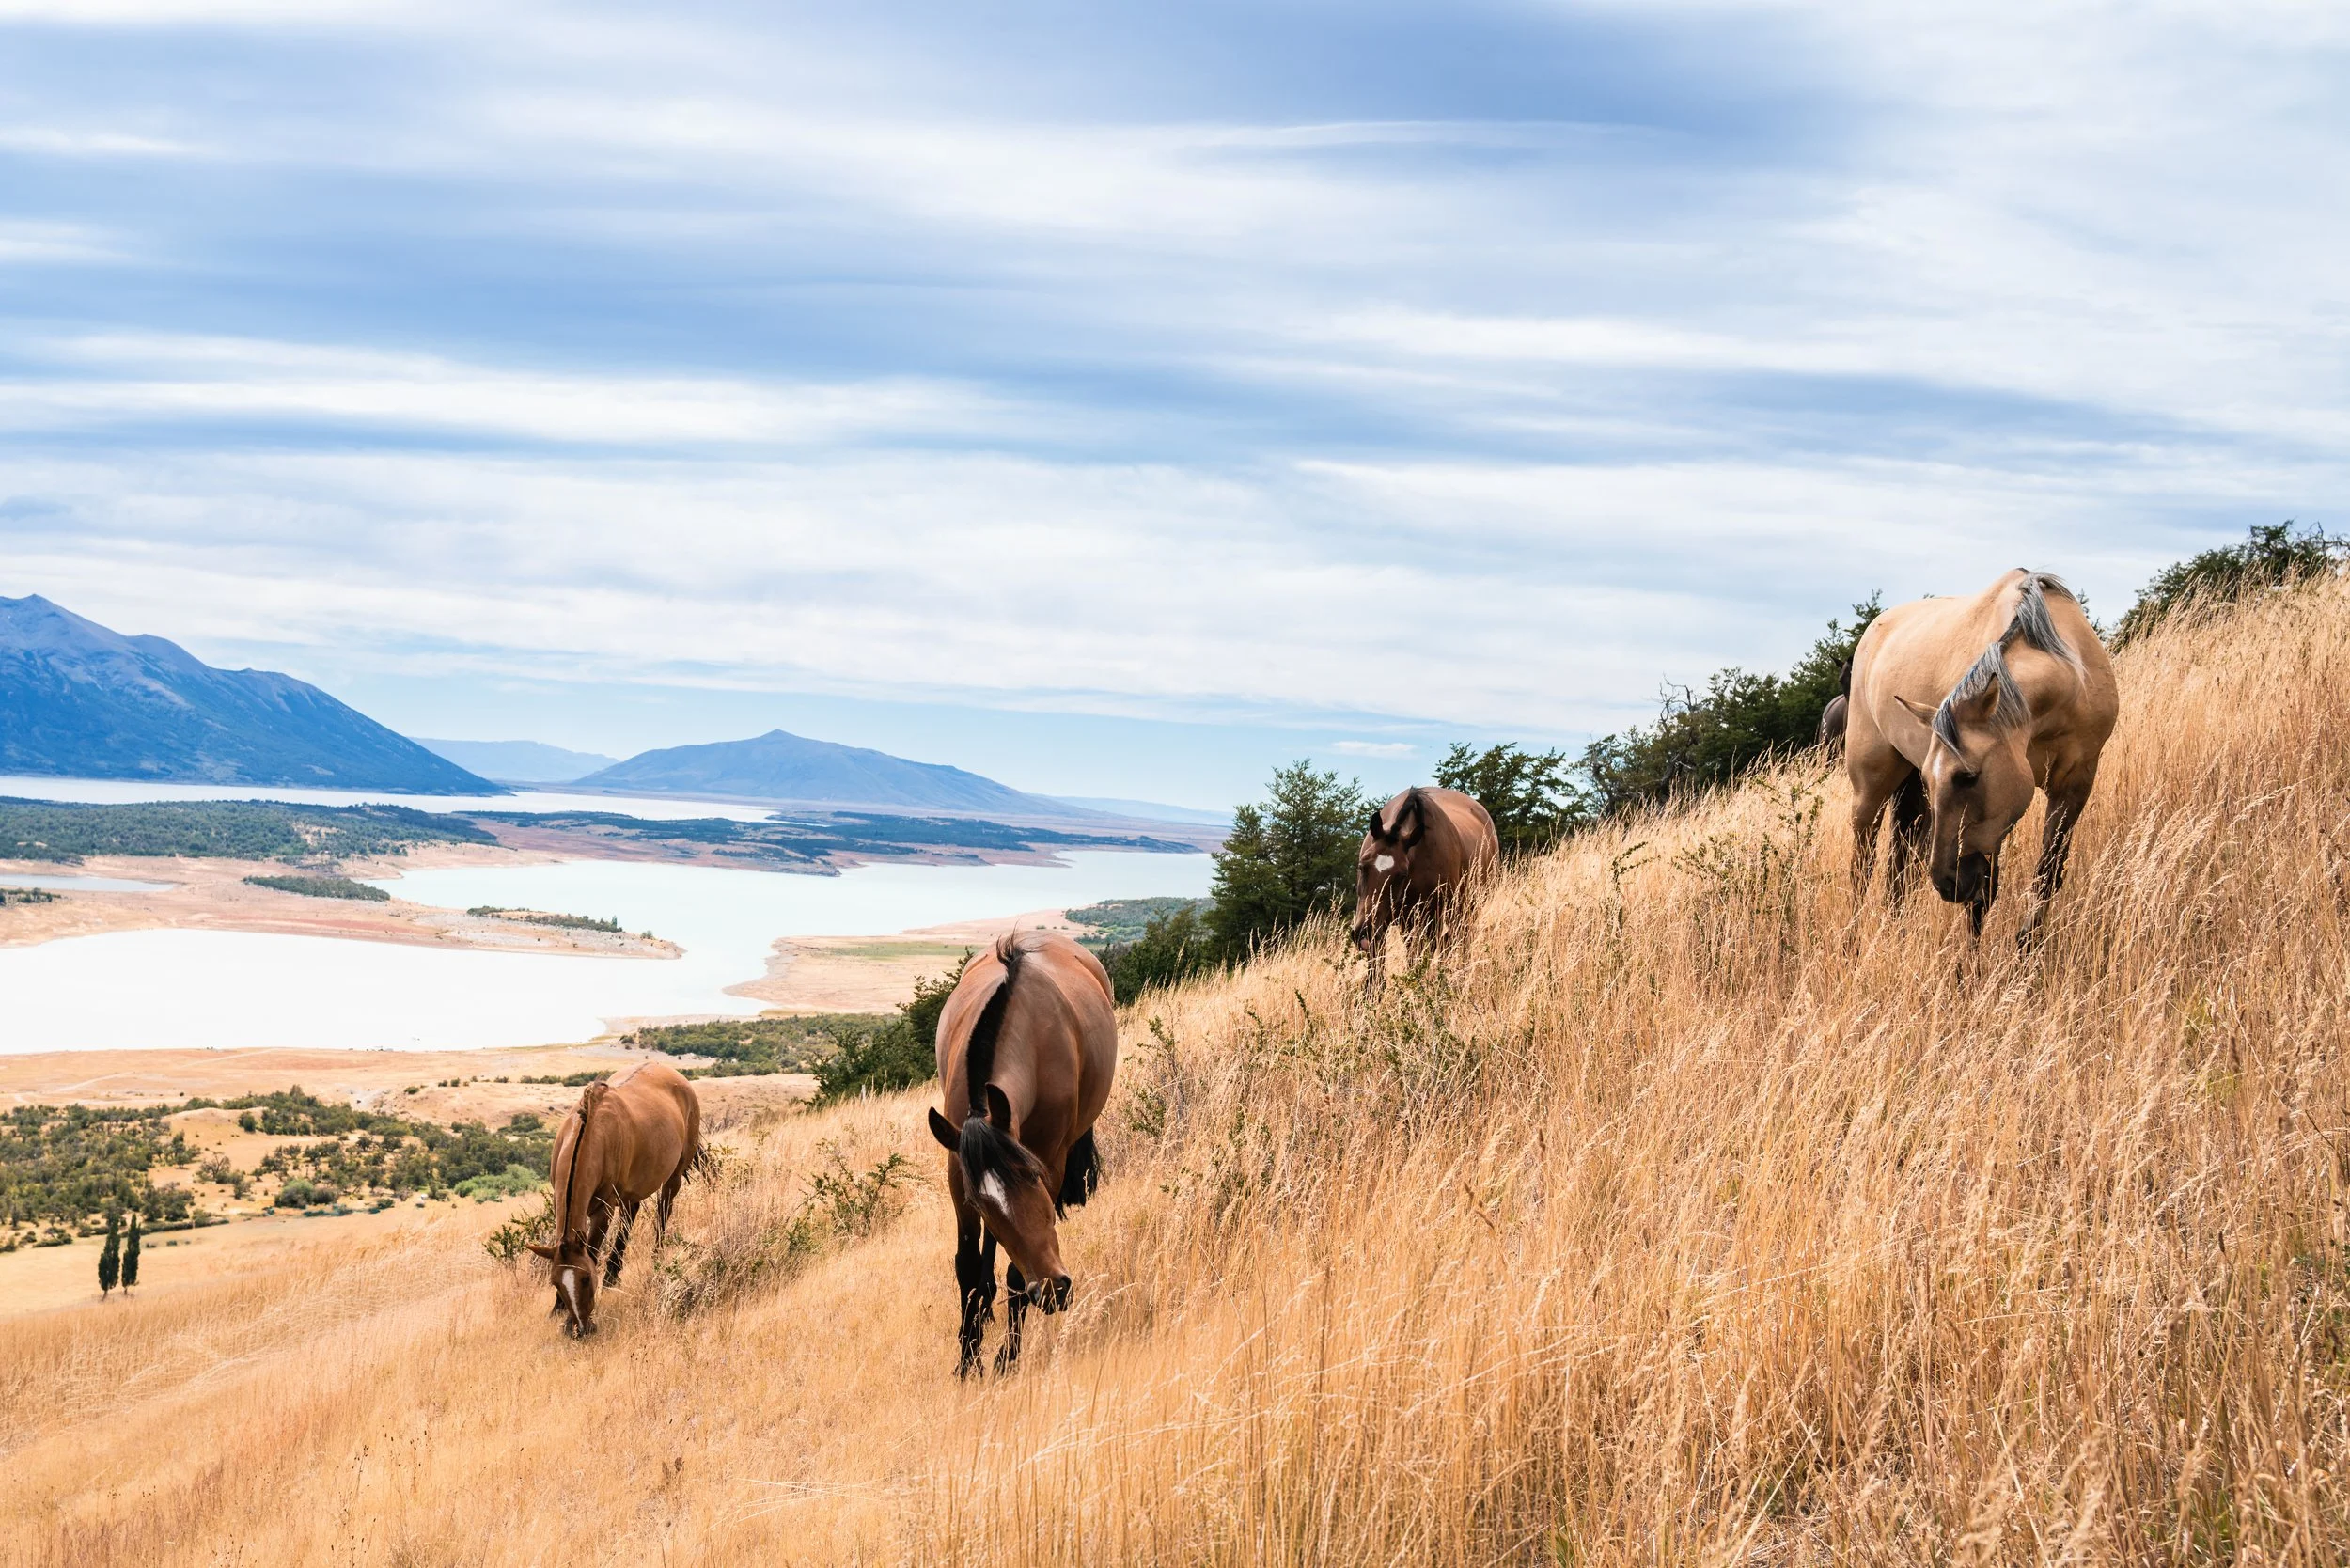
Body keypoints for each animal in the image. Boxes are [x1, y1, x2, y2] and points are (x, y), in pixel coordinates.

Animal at [528, 1059, 703, 1337]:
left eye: (586, 1279)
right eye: (555, 1283)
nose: (581, 1328)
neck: (591, 1134)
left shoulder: (603, 1210)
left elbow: (592, 1251)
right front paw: (557, 1309)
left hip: (673, 1177)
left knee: (663, 1213)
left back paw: (654, 1258)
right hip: (631, 1191)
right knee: (630, 1216)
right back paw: (613, 1275)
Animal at [925, 931, 1114, 1378]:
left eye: (1034, 1177)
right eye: (978, 1201)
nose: (1053, 1291)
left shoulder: (1052, 1159)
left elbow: (1014, 1273)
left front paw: (1005, 1358)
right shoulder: (958, 1172)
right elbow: (967, 1264)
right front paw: (967, 1357)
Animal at [1351, 786, 1500, 990]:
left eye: (1401, 875)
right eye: (1362, 866)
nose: (1363, 931)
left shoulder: (1430, 919)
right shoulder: (1383, 920)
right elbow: (1376, 971)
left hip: (1464, 911)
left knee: (1460, 941)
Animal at [1845, 568, 2118, 942]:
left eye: (1967, 776)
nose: (1946, 883)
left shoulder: (2076, 781)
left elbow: (2047, 875)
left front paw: (2027, 947)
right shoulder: (1992, 827)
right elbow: (1981, 900)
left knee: (1901, 871)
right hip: (1870, 788)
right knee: (1862, 867)